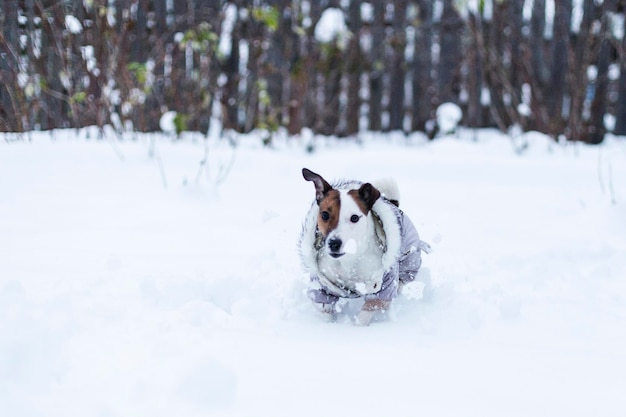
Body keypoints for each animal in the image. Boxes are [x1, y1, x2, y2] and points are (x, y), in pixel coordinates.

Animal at [298, 167, 428, 324]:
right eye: (324, 215)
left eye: (354, 218)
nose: (334, 243)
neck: (349, 260)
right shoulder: (321, 287)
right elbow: (324, 309)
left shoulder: (382, 288)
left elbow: (366, 313)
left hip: (409, 260)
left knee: (402, 280)